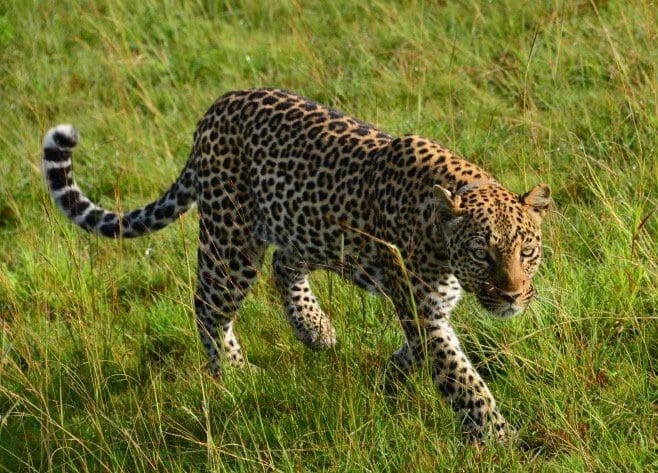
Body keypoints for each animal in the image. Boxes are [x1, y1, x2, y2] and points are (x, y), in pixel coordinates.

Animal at [43, 87, 551, 441]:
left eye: (526, 252)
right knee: (209, 305)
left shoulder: (429, 307)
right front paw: (500, 439)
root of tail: (217, 107)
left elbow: (424, 353)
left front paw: (390, 378)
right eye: (481, 253)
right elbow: (462, 378)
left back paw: (314, 327)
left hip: (305, 224)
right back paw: (235, 373)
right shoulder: (420, 307)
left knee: (284, 261)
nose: (512, 295)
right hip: (231, 241)